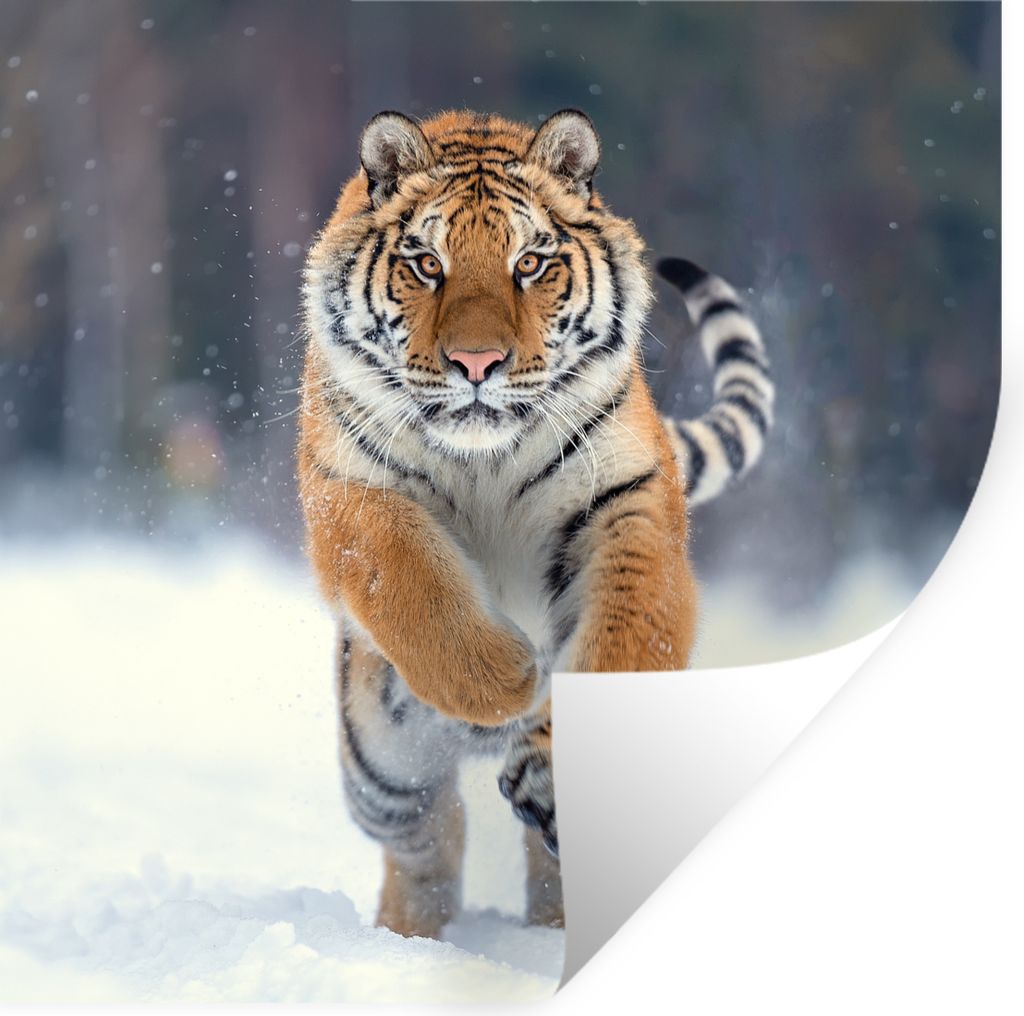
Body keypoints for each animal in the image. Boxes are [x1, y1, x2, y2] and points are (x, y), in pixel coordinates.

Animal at [297, 109, 773, 939]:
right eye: (426, 263)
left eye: (530, 263)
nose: (476, 363)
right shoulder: (348, 490)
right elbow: (412, 584)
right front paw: (505, 678)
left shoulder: (627, 498)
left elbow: (629, 630)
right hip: (381, 772)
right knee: (429, 839)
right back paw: (411, 937)